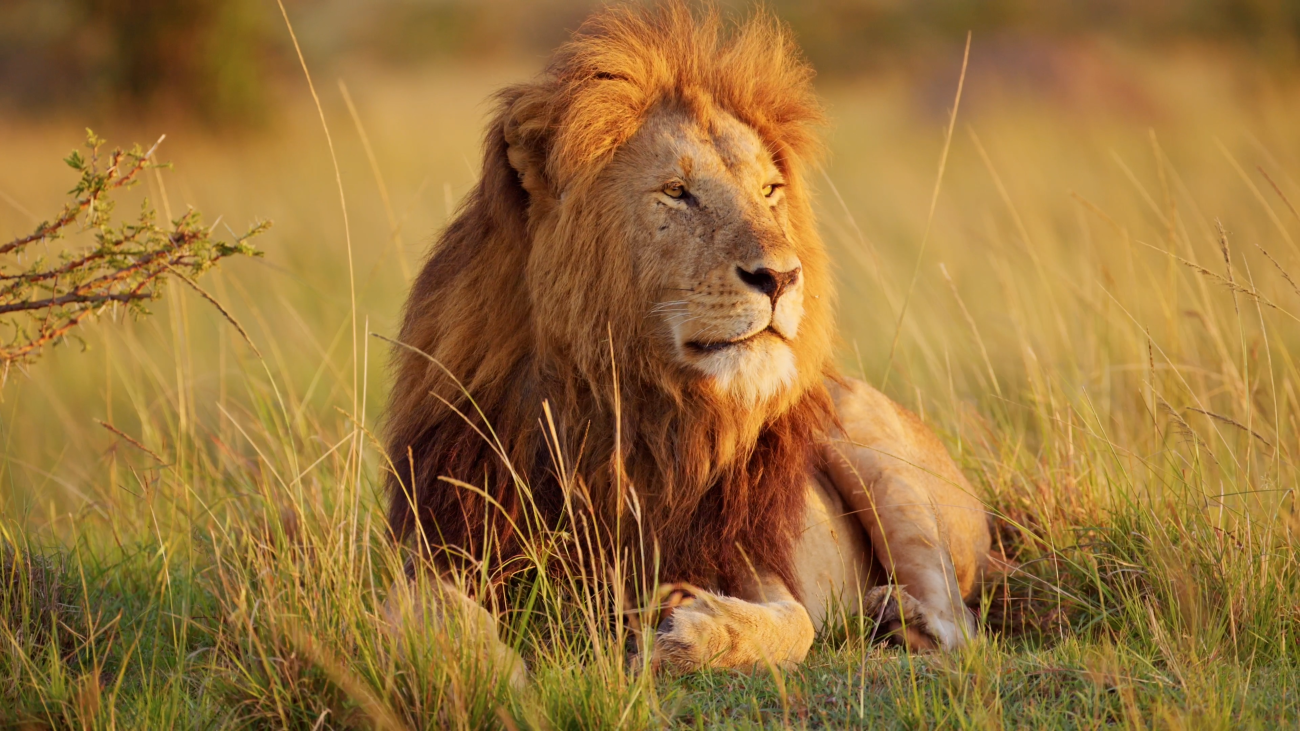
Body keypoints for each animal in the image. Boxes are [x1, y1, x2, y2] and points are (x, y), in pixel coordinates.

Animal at [382, 2, 992, 675]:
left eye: (769, 190)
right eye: (676, 192)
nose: (783, 277)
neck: (624, 409)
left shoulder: (751, 558)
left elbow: (795, 625)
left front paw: (689, 632)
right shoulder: (442, 543)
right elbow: (423, 617)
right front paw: (489, 671)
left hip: (868, 438)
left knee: (960, 625)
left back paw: (895, 615)